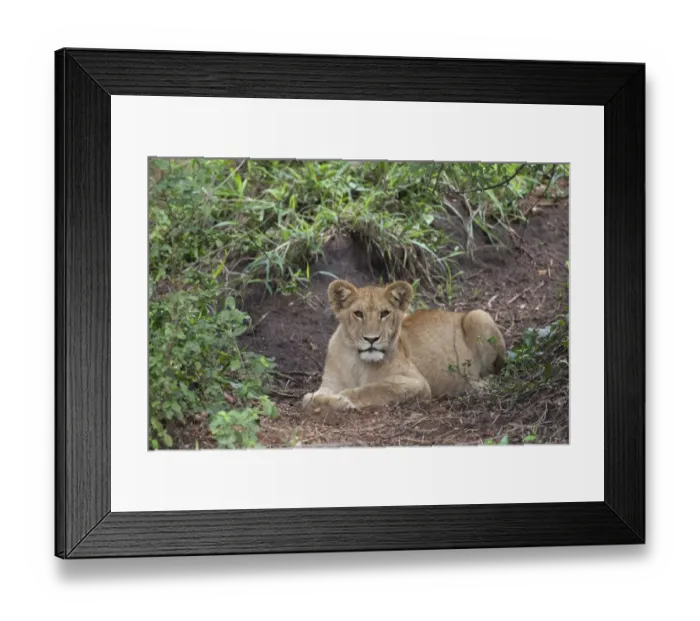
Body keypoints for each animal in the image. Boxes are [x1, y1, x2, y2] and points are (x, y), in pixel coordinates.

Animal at [301, 279, 506, 411]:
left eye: (384, 313)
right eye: (358, 314)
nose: (371, 339)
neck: (355, 361)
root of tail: (457, 313)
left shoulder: (418, 383)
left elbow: (375, 388)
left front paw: (344, 399)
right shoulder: (330, 382)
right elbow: (307, 398)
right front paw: (323, 399)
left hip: (478, 315)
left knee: (494, 374)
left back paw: (477, 386)